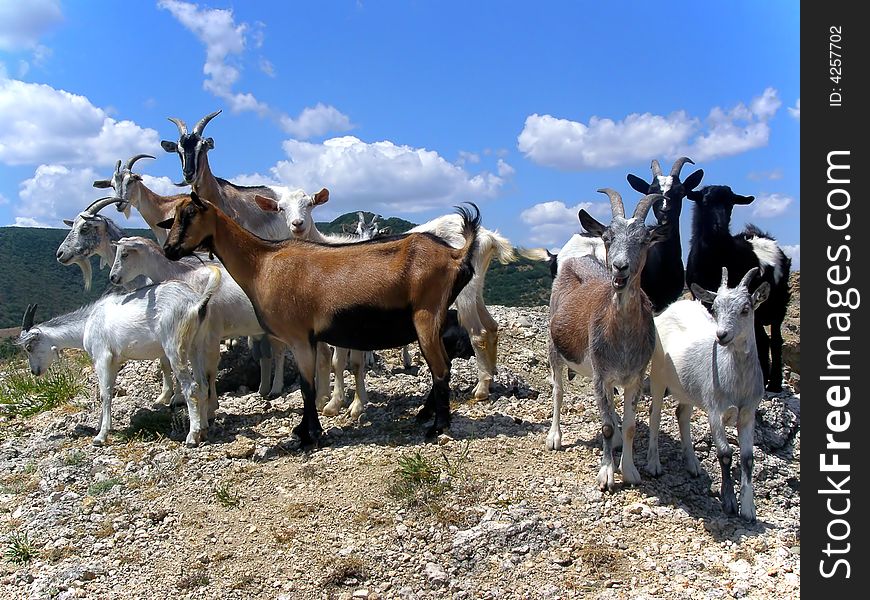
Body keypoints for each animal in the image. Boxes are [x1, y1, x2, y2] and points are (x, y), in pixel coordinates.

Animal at [17, 268, 221, 446]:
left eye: (29, 347)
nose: (34, 371)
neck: (88, 322)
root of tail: (196, 303)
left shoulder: (102, 357)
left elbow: (104, 394)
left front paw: (100, 436)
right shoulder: (115, 361)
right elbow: (108, 390)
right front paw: (100, 426)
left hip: (174, 347)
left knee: (191, 387)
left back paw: (192, 436)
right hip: (196, 346)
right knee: (202, 385)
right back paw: (203, 428)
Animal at [160, 192, 480, 446]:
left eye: (190, 215)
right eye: (173, 218)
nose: (169, 250)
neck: (262, 263)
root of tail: (456, 254)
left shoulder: (299, 336)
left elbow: (306, 386)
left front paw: (309, 435)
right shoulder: (307, 339)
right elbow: (310, 382)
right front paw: (306, 429)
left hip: (427, 315)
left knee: (440, 367)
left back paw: (438, 426)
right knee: (445, 361)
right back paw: (426, 415)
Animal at [552, 190, 668, 490]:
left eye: (644, 239)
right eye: (608, 237)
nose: (619, 268)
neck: (622, 339)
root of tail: (580, 257)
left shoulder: (635, 376)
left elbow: (629, 426)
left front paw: (629, 470)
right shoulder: (600, 375)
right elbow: (603, 425)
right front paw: (606, 474)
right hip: (554, 349)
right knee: (558, 391)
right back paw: (554, 437)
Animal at [652, 268, 772, 520]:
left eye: (745, 309)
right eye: (715, 309)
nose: (722, 335)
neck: (737, 385)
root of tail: (673, 307)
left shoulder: (748, 413)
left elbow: (748, 458)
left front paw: (749, 509)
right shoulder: (715, 410)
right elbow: (725, 453)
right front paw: (729, 502)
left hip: (687, 388)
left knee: (681, 414)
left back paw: (693, 465)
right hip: (658, 375)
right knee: (654, 415)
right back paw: (653, 464)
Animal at [688, 185, 796, 392]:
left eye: (731, 204)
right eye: (704, 200)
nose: (719, 226)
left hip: (777, 303)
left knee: (774, 339)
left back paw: (774, 383)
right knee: (762, 339)